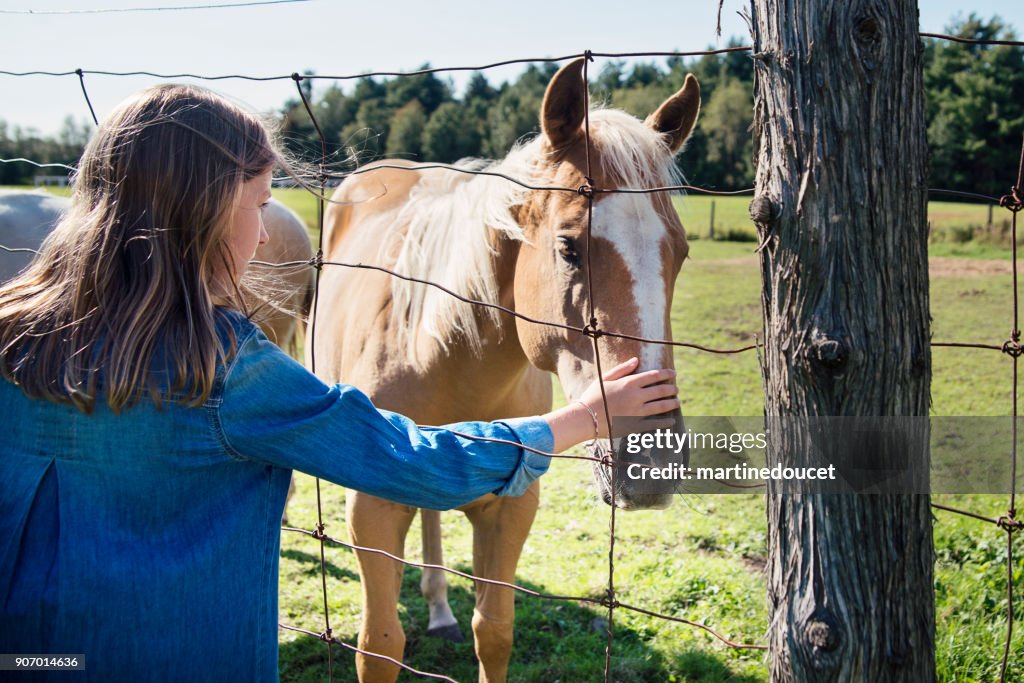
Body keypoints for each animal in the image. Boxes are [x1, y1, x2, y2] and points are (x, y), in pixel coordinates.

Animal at [311, 60, 696, 683]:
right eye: (568, 248)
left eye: (680, 252)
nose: (652, 461)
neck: (442, 353)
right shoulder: (371, 509)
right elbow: (380, 644)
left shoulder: (513, 506)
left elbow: (493, 633)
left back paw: (440, 609)